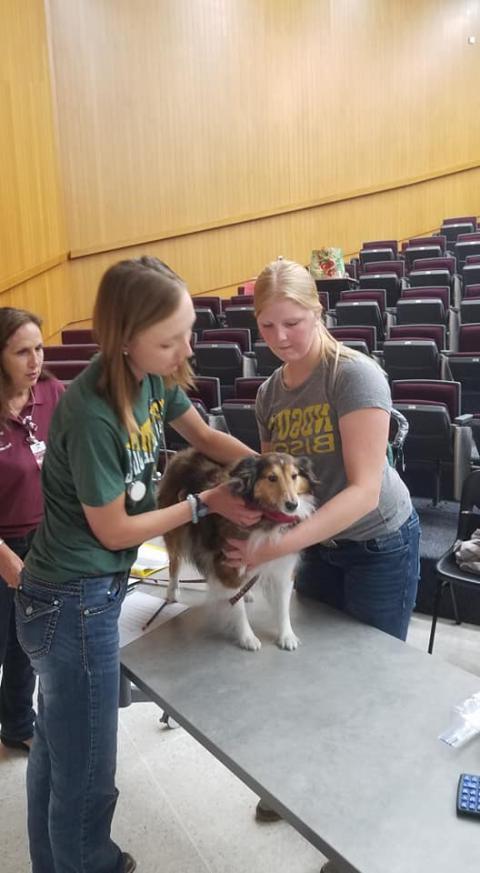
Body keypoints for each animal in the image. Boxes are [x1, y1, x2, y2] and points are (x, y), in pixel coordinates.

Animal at [156, 454, 316, 652]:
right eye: (272, 477)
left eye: (294, 476)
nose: (292, 505)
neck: (266, 517)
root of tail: (184, 454)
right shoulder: (228, 566)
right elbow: (237, 608)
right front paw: (247, 637)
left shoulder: (283, 567)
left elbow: (283, 605)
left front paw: (287, 636)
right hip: (176, 533)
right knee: (174, 562)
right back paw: (172, 591)